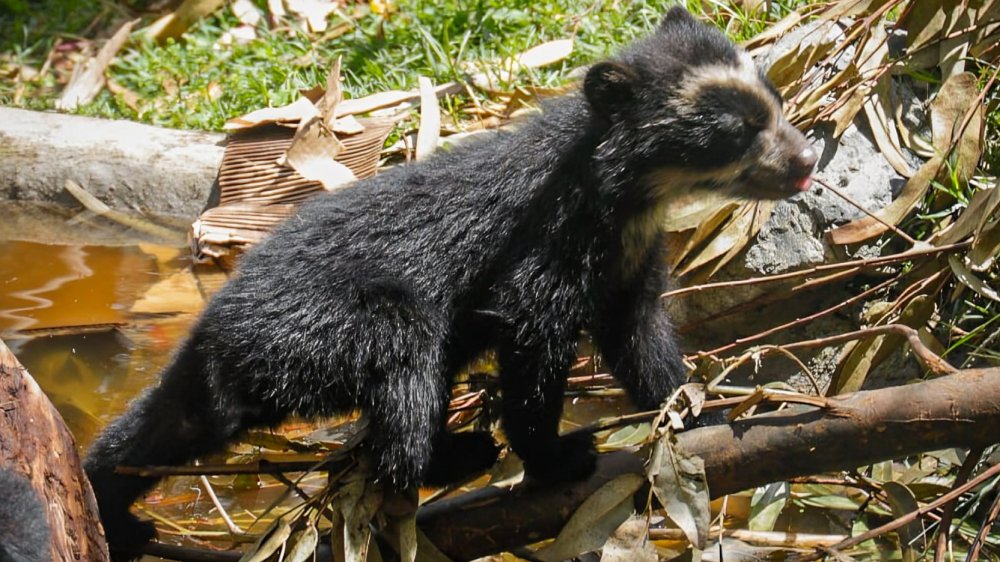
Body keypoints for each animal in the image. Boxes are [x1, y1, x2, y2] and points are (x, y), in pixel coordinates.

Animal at [84, 7, 816, 559]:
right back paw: (456, 455)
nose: (807, 160)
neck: (629, 196)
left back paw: (116, 517)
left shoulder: (628, 259)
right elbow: (531, 339)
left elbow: (638, 337)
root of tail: (213, 335)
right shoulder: (549, 244)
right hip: (341, 324)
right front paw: (560, 457)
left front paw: (705, 417)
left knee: (151, 437)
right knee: (405, 389)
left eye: (775, 102)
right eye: (733, 131)